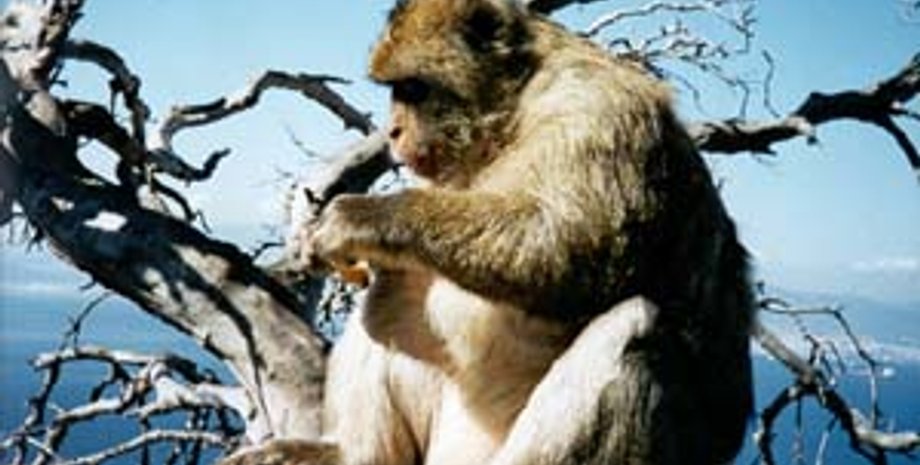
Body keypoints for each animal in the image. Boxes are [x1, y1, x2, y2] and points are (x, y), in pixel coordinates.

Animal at [222, 0, 754, 464]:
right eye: (394, 90)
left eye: (412, 89)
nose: (392, 131)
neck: (513, 115)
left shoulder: (599, 110)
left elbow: (574, 247)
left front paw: (361, 216)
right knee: (400, 284)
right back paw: (354, 455)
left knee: (636, 327)